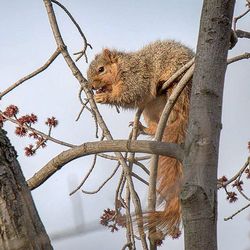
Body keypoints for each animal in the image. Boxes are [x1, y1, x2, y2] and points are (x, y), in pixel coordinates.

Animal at [87, 40, 194, 239]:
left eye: (101, 69)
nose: (92, 86)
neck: (122, 67)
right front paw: (101, 93)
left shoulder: (136, 77)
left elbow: (129, 94)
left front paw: (105, 96)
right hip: (151, 111)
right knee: (155, 126)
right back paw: (143, 128)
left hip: (179, 80)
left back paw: (166, 85)